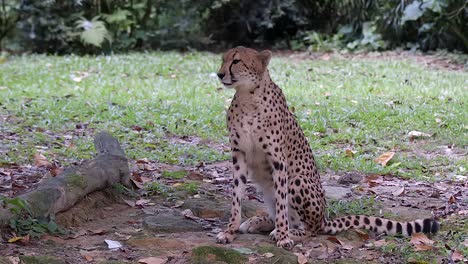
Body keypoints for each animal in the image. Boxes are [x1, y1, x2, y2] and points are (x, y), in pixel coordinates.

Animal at [216, 47, 438, 250]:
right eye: (223, 59)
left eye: (236, 61)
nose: (219, 74)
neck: (247, 97)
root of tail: (324, 218)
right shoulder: (239, 156)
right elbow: (236, 198)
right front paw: (230, 231)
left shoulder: (278, 161)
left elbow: (281, 207)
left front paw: (284, 237)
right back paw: (257, 222)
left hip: (297, 180)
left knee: (309, 228)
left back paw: (286, 232)